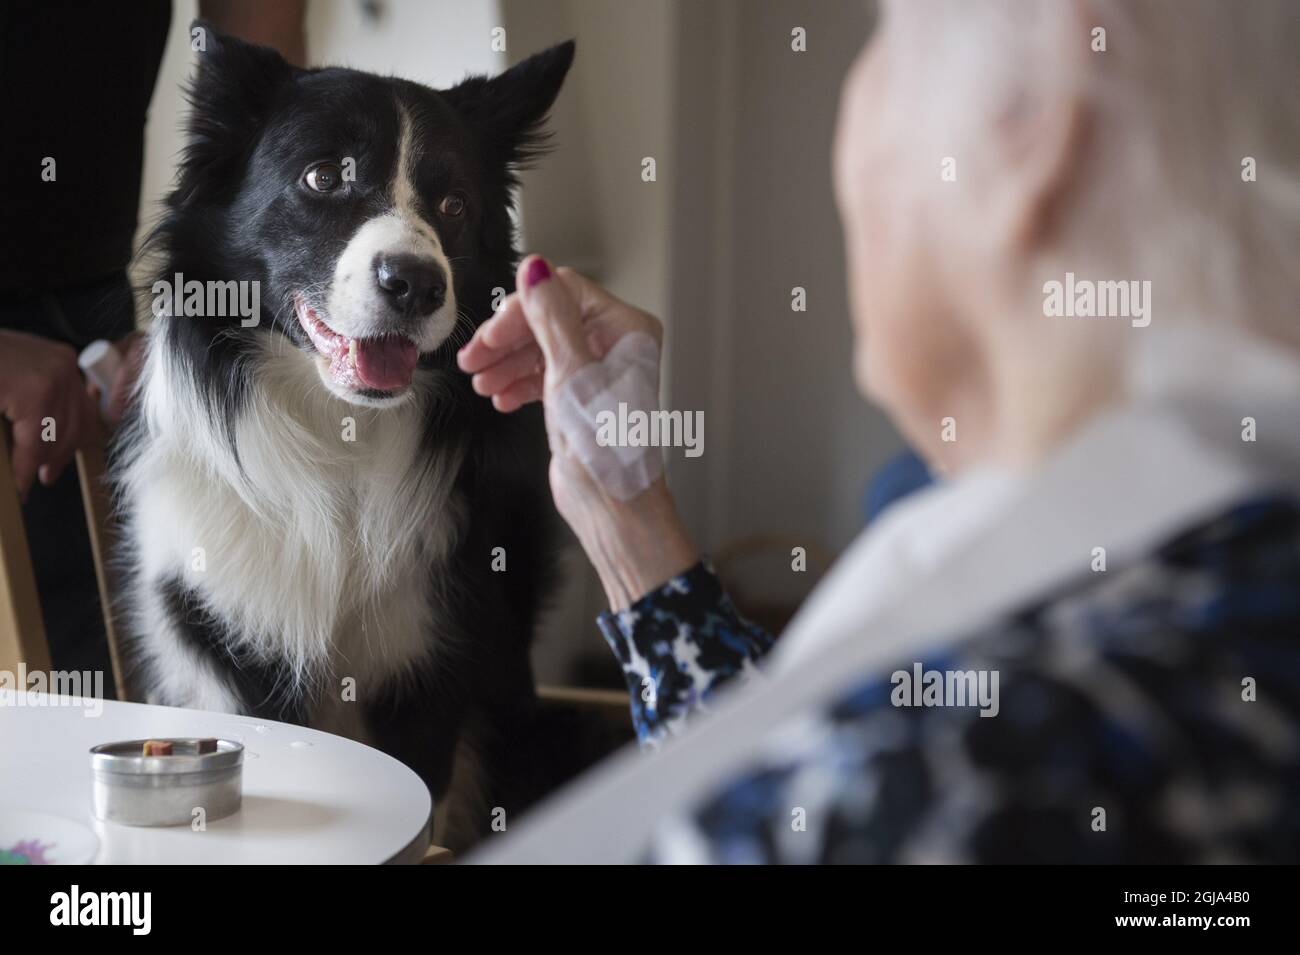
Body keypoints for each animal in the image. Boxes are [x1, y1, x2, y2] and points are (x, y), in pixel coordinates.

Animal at [116, 22, 574, 847]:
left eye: (455, 203)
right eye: (324, 177)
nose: (417, 283)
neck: (341, 432)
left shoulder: (429, 666)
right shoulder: (239, 655)